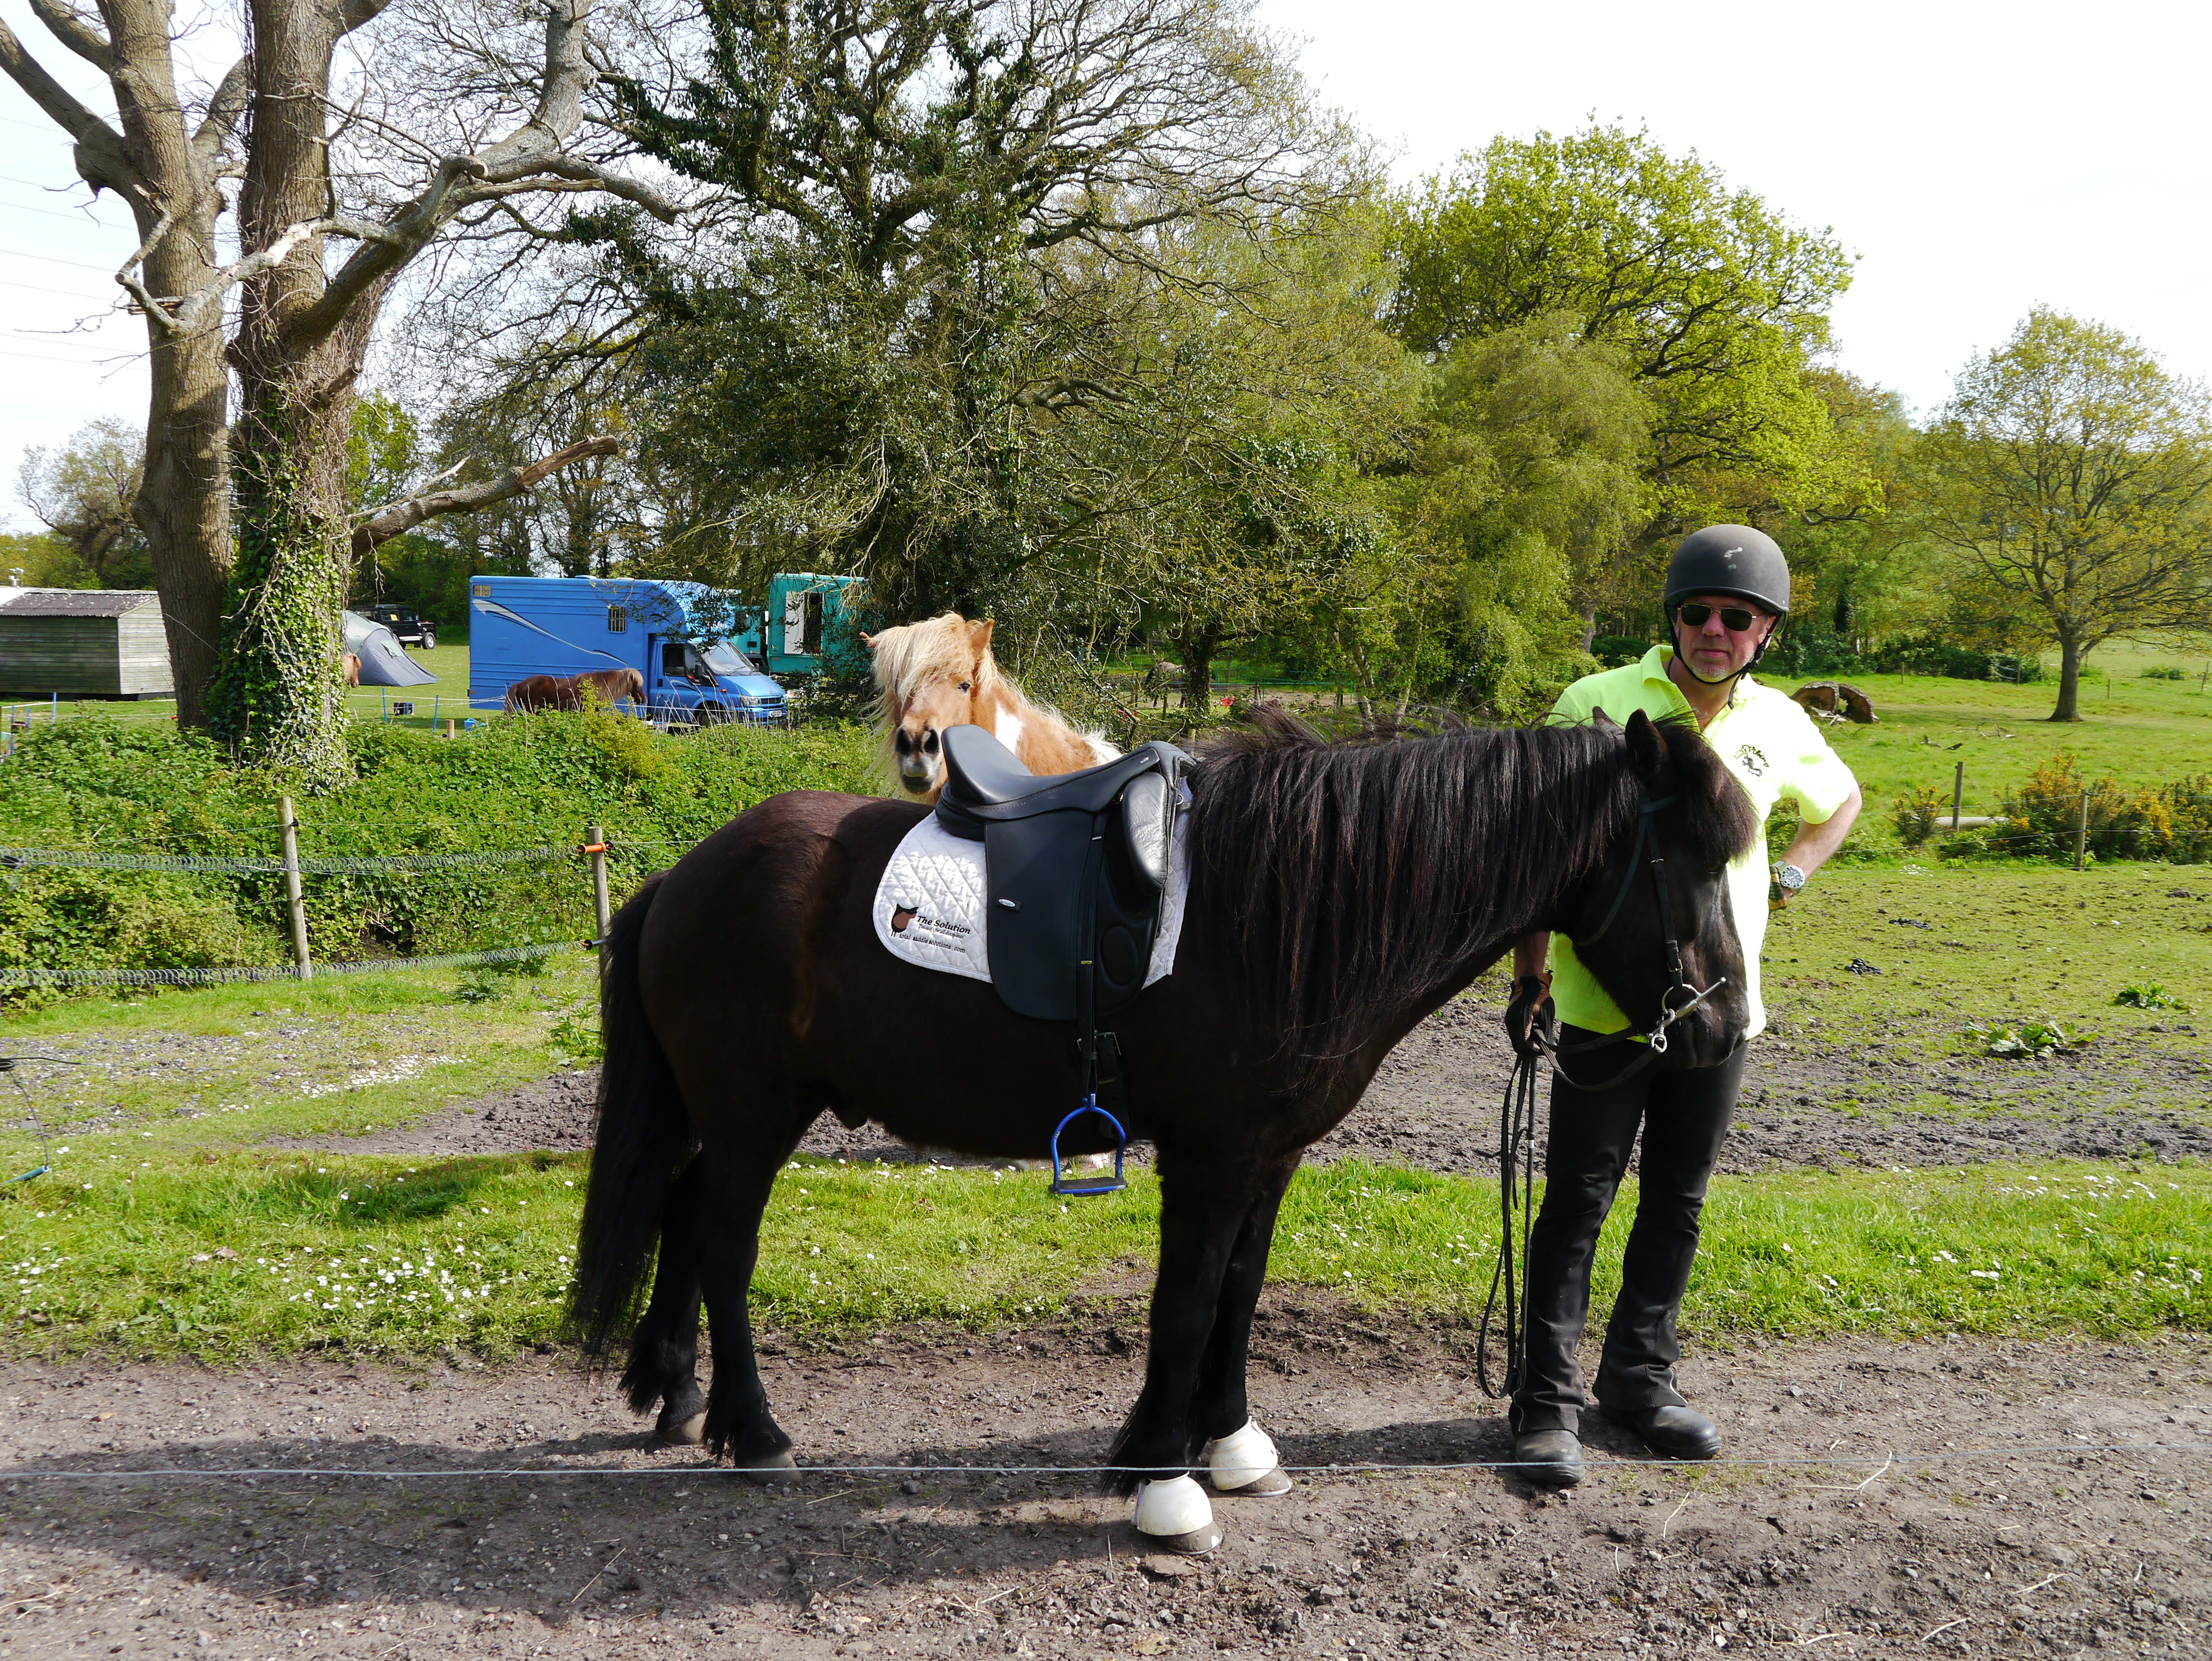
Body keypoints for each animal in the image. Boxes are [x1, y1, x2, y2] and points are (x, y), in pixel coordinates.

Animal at [568, 706, 1759, 1554]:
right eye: (1689, 859)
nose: (1718, 1027)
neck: (1282, 908)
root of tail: (686, 871)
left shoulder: (1270, 1156)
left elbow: (1239, 1293)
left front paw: (1227, 1441)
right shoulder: (1210, 1156)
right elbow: (1184, 1305)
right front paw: (1162, 1481)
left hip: (726, 1114)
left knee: (681, 1210)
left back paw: (676, 1396)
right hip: (754, 1111)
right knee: (724, 1238)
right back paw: (755, 1432)